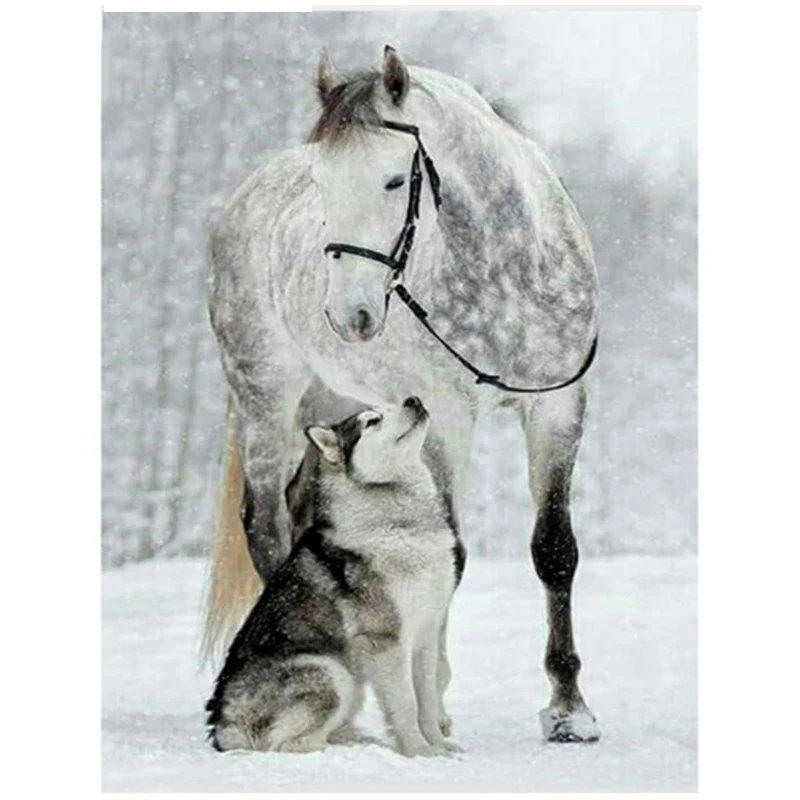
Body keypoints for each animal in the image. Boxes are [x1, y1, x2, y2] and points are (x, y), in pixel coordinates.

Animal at [206, 396, 466, 757]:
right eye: (372, 421)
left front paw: (439, 746)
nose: (413, 399)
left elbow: (427, 699)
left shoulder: (426, 631)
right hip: (332, 672)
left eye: (391, 404)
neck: (401, 525)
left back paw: (357, 739)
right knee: (284, 744)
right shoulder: (386, 640)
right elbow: (406, 704)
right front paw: (419, 752)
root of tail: (222, 726)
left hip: (351, 681)